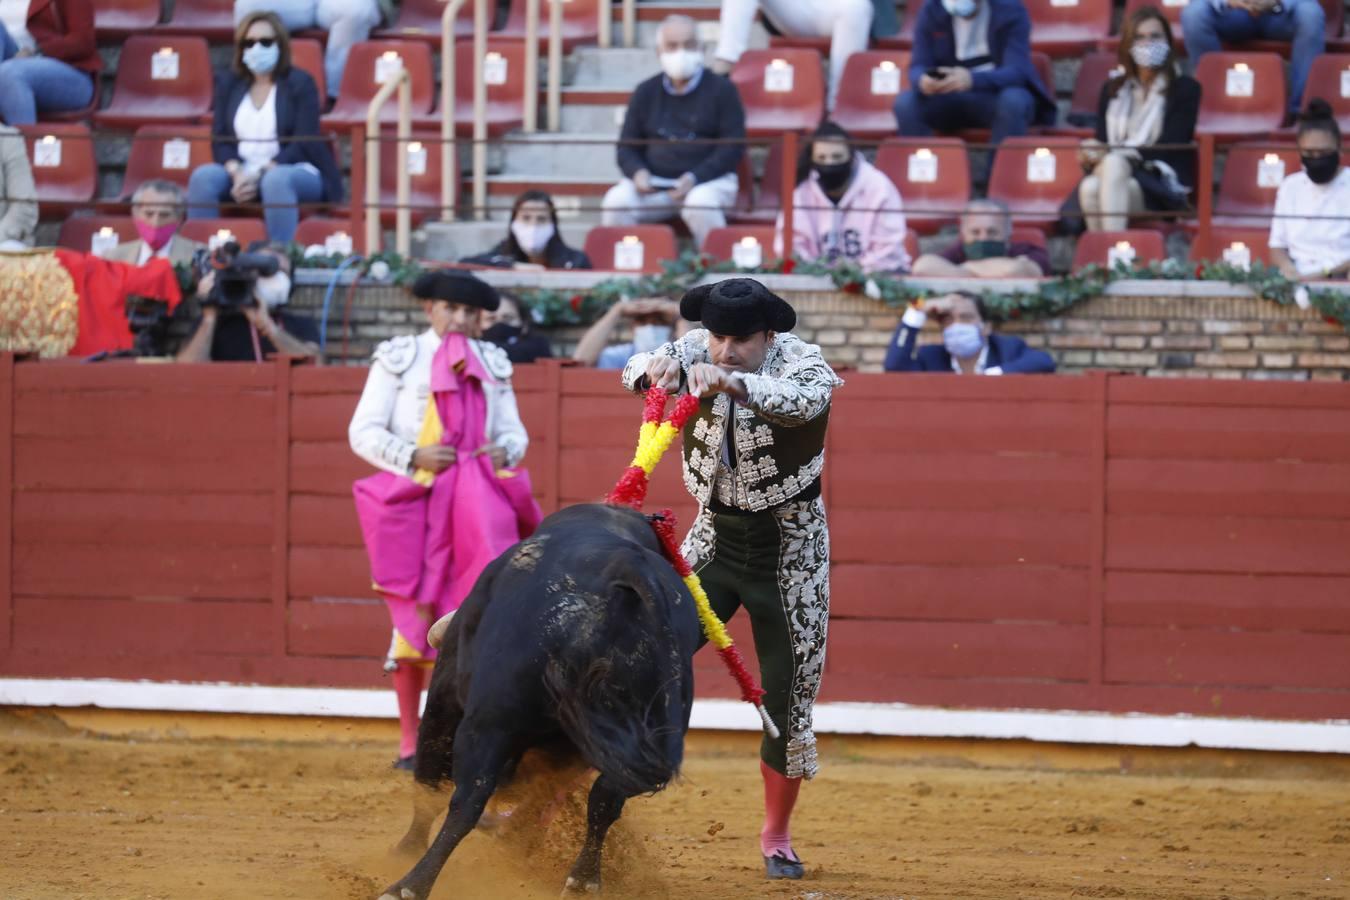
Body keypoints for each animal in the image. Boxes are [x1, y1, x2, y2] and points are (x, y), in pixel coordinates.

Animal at [378, 504, 702, 895]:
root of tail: (624, 566)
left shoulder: (446, 699)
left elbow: (430, 784)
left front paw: (405, 852)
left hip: (487, 721)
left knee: (466, 798)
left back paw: (409, 884)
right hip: (649, 729)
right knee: (606, 798)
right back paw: (581, 879)